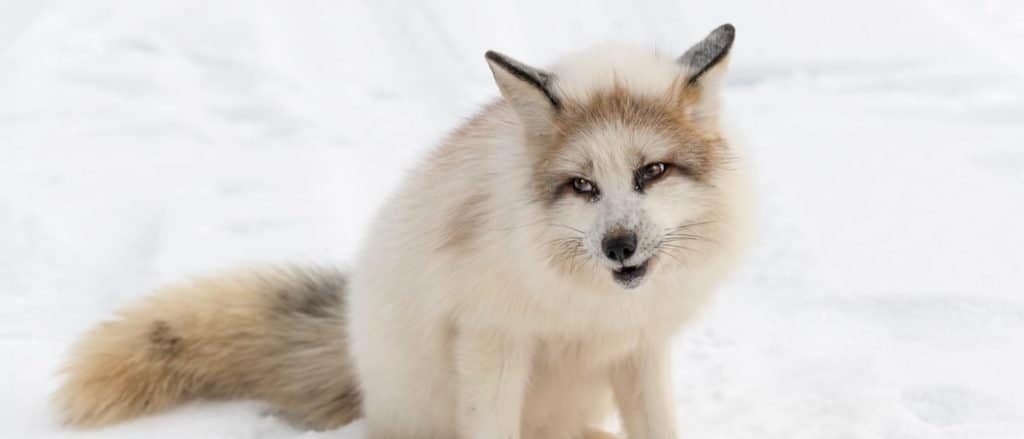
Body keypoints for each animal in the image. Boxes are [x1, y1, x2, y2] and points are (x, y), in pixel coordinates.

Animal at [54, 23, 753, 437]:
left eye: (652, 172)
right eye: (583, 185)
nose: (618, 246)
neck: (591, 309)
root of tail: (354, 349)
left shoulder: (640, 347)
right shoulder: (492, 340)